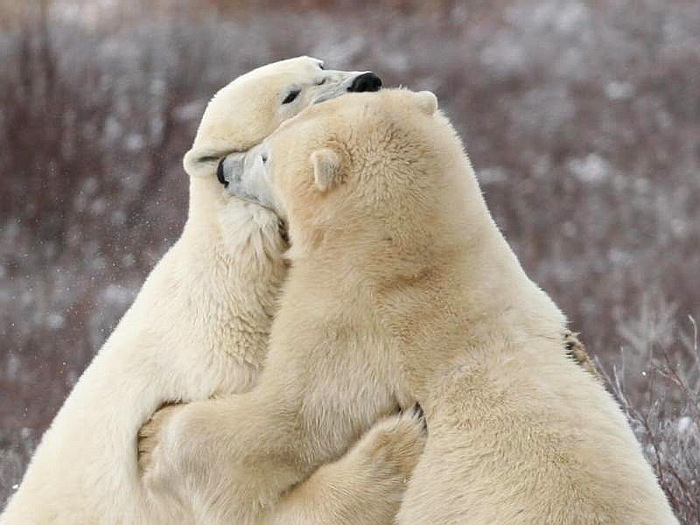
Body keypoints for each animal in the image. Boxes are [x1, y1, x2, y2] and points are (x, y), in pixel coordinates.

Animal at [1, 58, 426, 524]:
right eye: (290, 95)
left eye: (320, 64)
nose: (367, 81)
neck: (245, 282)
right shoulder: (218, 381)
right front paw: (402, 436)